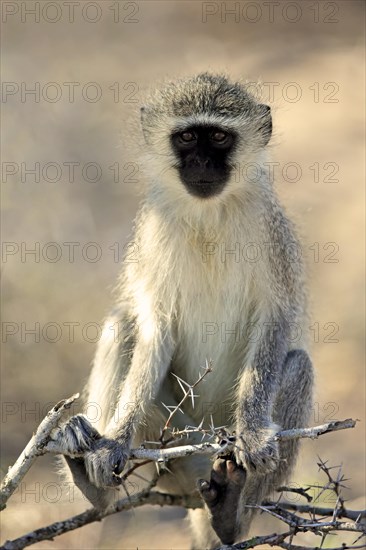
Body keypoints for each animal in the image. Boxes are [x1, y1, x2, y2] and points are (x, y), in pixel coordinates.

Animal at [57, 74, 314, 550]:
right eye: (187, 138)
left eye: (219, 137)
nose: (202, 163)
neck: (208, 214)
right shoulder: (155, 230)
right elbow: (155, 328)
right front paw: (114, 442)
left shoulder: (268, 229)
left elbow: (275, 318)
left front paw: (253, 431)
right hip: (176, 447)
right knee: (122, 326)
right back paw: (93, 487)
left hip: (207, 448)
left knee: (300, 364)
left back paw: (233, 514)